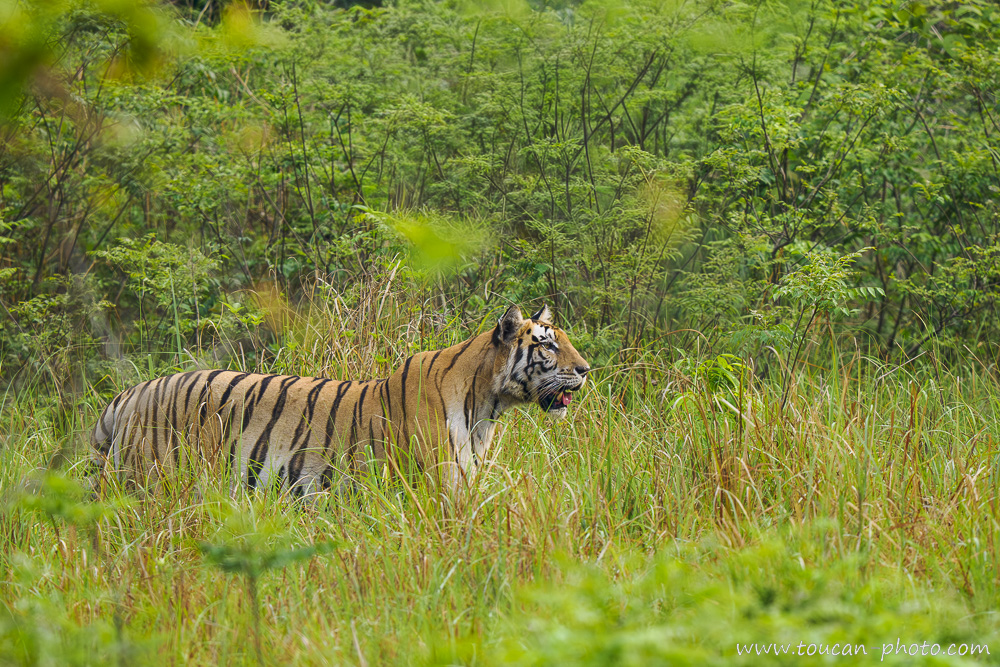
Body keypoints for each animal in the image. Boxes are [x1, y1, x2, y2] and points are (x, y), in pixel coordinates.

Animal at [89, 304, 590, 496]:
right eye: (548, 345)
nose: (587, 370)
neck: (488, 404)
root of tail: (133, 392)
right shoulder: (438, 487)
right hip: (152, 483)